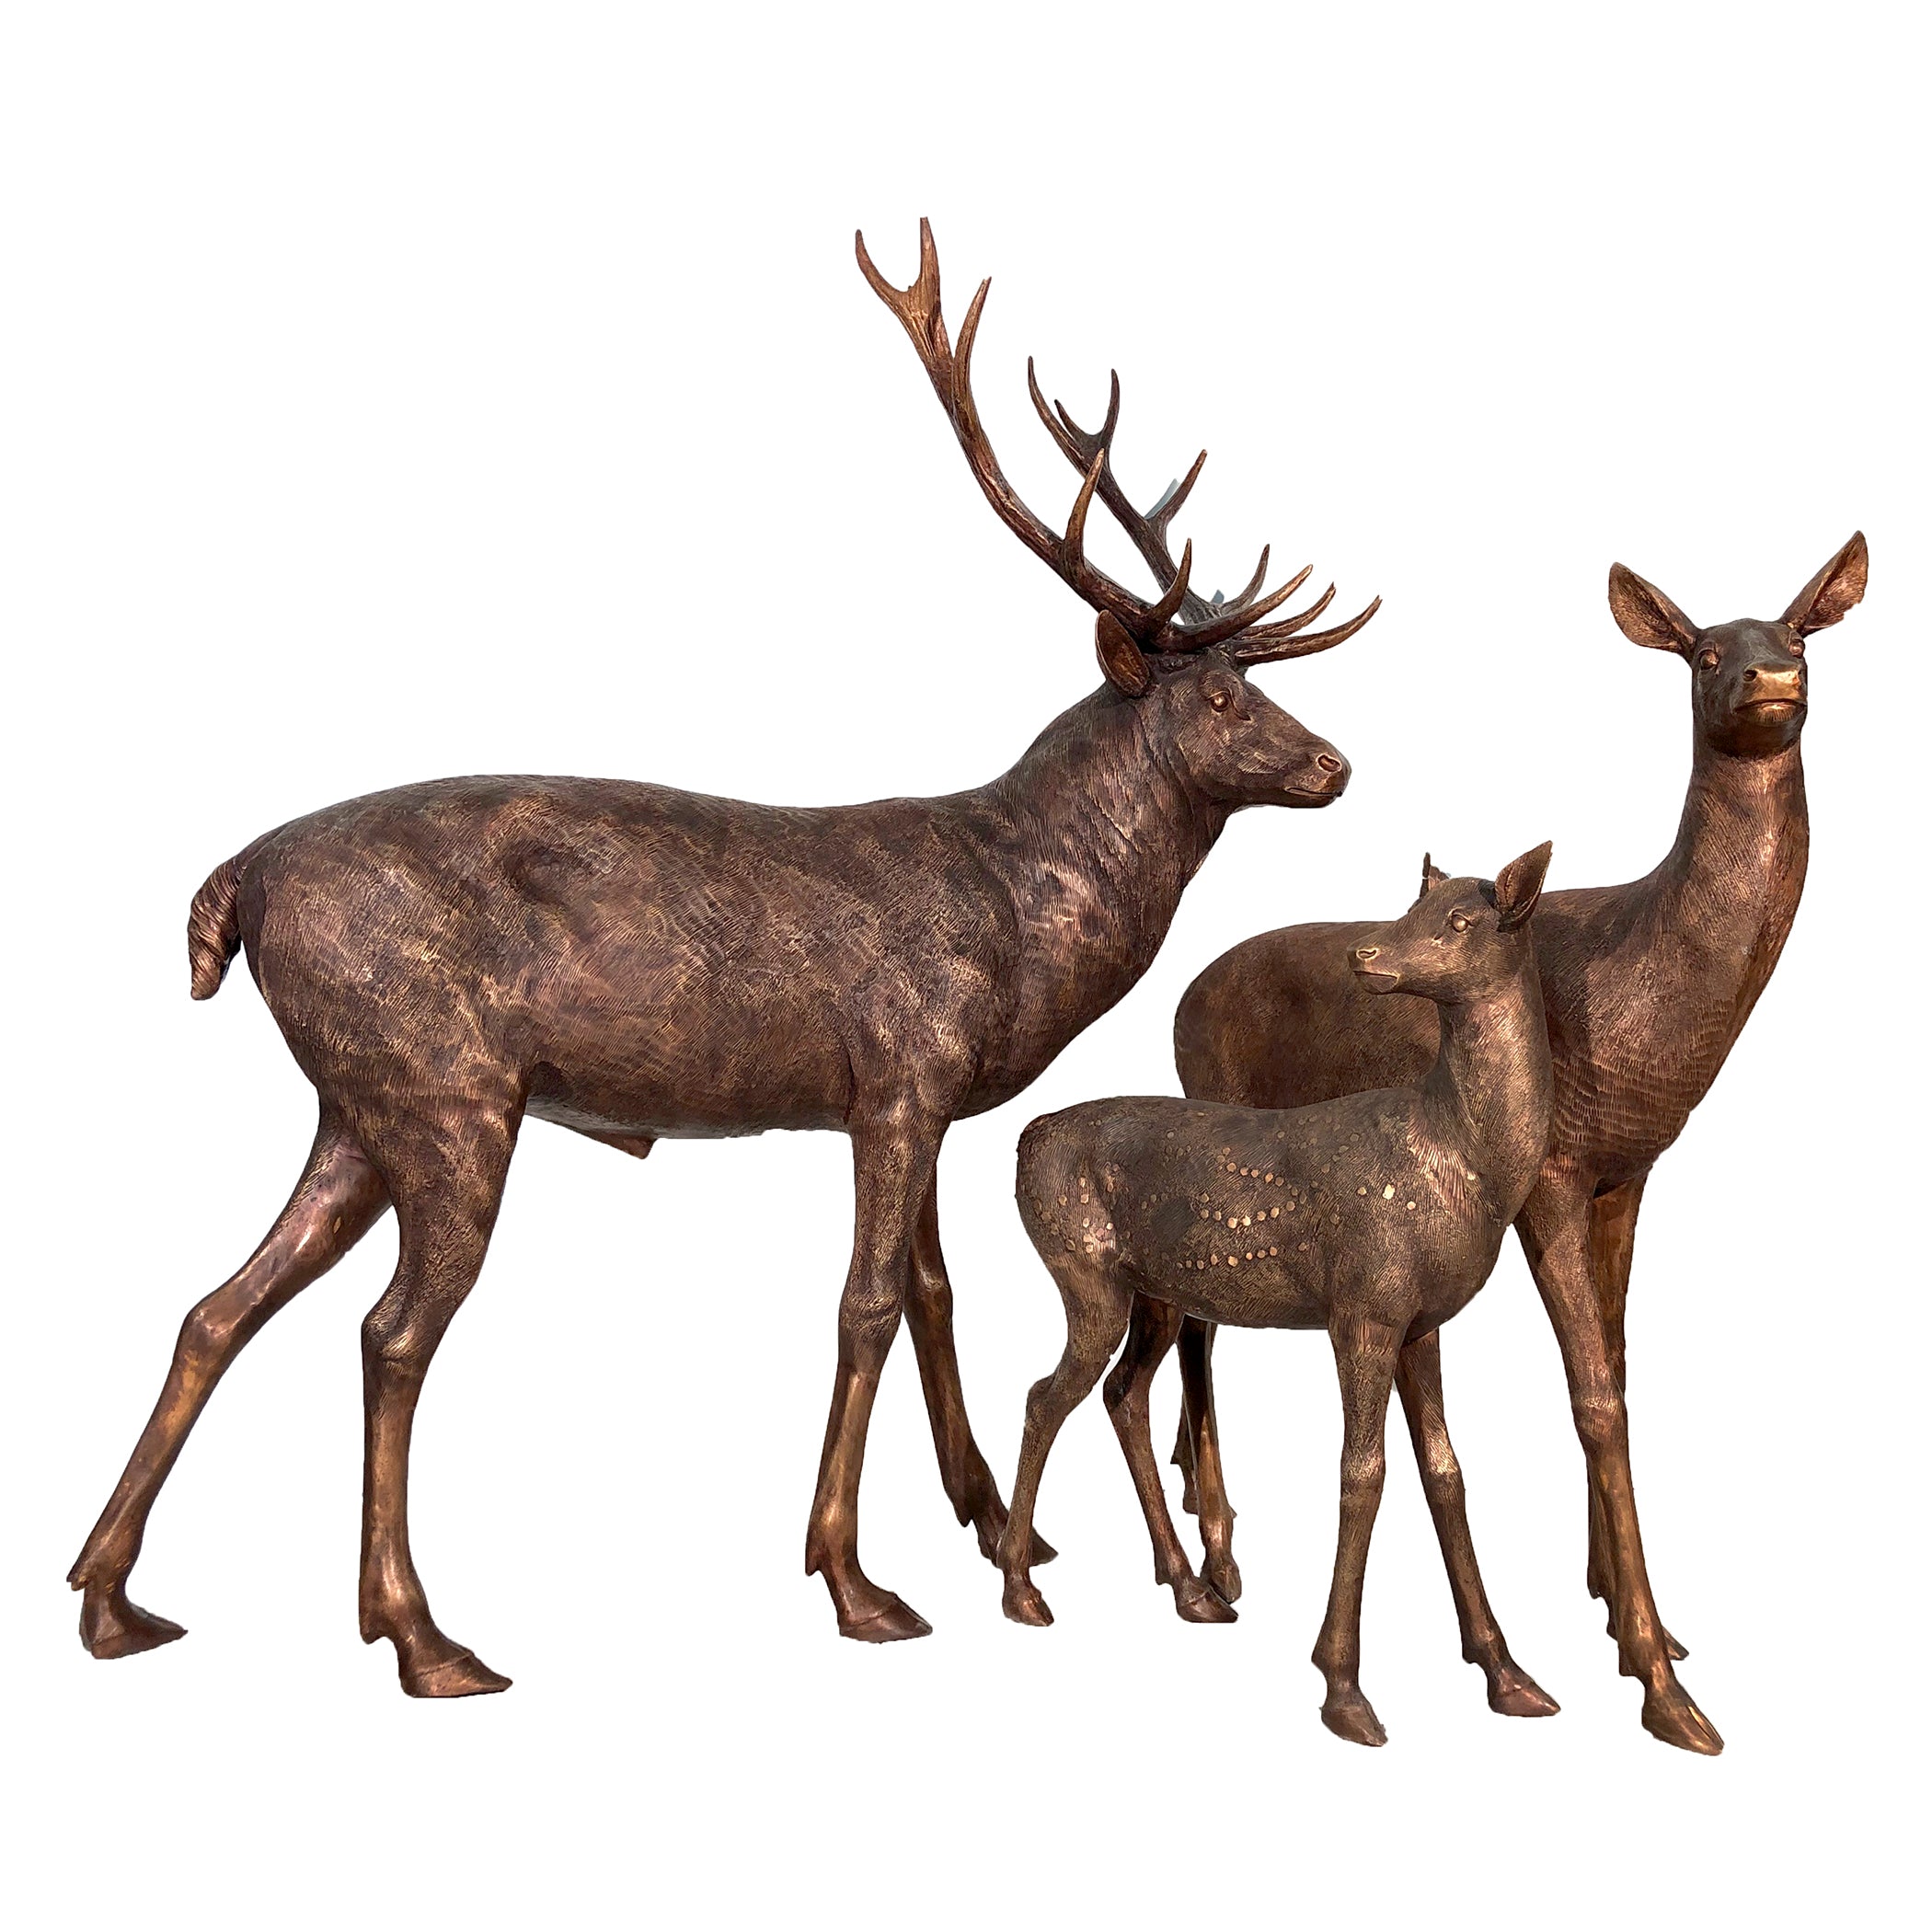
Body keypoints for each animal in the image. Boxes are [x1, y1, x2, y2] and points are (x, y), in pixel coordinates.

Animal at [68, 220, 1378, 1695]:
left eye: (1263, 685)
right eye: (1218, 695)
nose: (1334, 764)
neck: (1018, 914)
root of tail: (235, 886)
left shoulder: (912, 1095)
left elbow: (932, 1291)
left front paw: (999, 1528)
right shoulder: (904, 1069)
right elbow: (867, 1303)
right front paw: (856, 1581)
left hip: (355, 1101)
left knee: (215, 1306)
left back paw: (112, 1599)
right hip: (447, 1090)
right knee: (390, 1330)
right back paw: (421, 1634)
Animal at [1001, 845, 1557, 1746]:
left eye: (1459, 919)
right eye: (1410, 906)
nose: (1367, 953)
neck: (1466, 1160)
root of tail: (1025, 1140)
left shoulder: (1422, 1320)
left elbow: (1446, 1471)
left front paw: (1508, 1673)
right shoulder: (1362, 1304)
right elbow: (1362, 1472)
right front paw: (1344, 1688)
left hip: (1153, 1295)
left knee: (1121, 1393)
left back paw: (1190, 1589)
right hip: (1081, 1271)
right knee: (1045, 1395)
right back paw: (1022, 1587)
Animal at [1167, 534, 1868, 1754]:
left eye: (1800, 633)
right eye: (1702, 650)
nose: (1773, 681)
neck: (1652, 1003)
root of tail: (1176, 1000)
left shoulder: (1630, 1173)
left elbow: (1622, 1363)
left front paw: (1628, 1619)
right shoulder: (1551, 1172)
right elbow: (1594, 1396)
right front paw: (1660, 1682)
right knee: (1196, 1333)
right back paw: (1214, 1567)